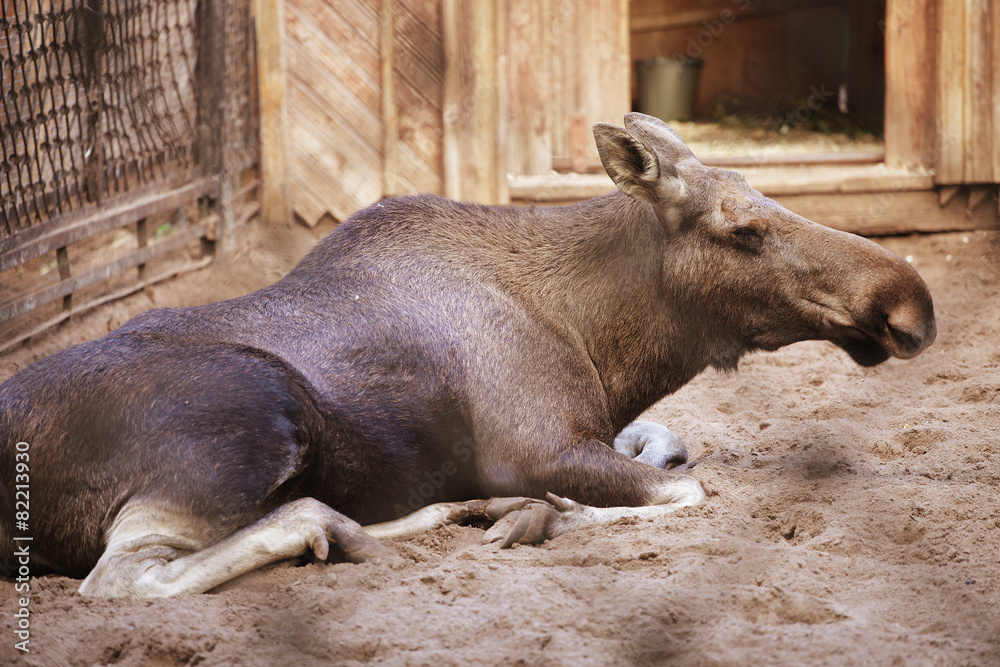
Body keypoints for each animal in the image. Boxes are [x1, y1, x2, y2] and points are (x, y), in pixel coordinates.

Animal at [0, 113, 936, 598]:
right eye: (742, 228)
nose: (909, 302)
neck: (601, 336)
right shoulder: (542, 443)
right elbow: (683, 486)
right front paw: (539, 514)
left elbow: (669, 445)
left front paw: (516, 511)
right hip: (253, 417)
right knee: (126, 574)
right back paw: (356, 525)